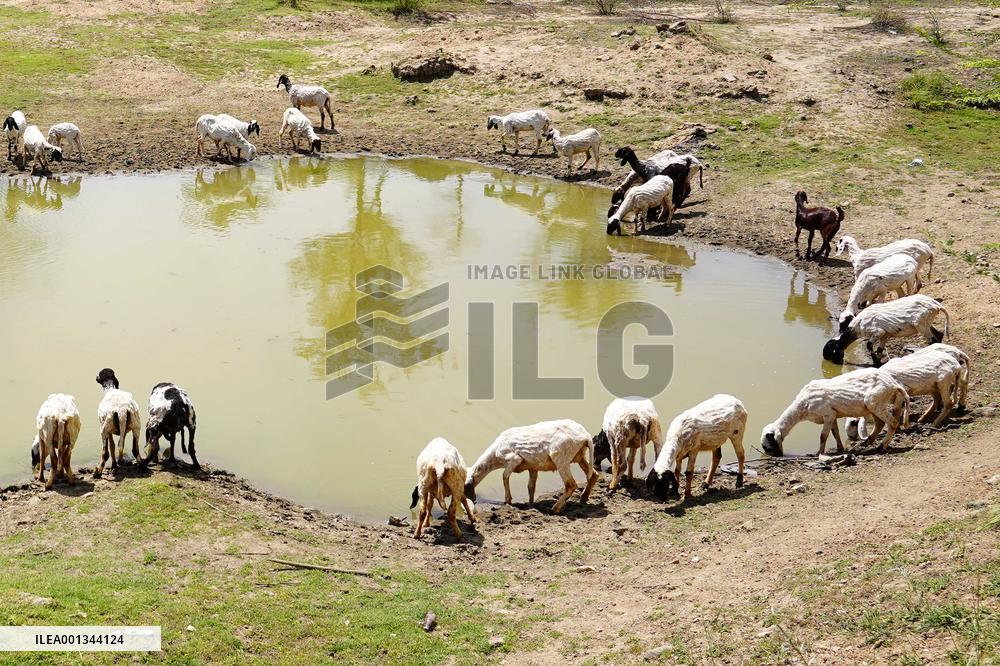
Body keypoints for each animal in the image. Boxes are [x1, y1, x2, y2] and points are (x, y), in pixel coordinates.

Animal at [464, 419, 598, 514]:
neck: (494, 457)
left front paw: (507, 500)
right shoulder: (533, 466)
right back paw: (583, 498)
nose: (473, 499)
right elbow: (531, 486)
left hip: (561, 457)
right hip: (579, 455)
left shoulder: (514, 459)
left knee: (571, 484)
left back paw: (554, 509)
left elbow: (505, 476)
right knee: (594, 475)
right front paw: (530, 504)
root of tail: (586, 436)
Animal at [761, 368, 910, 456]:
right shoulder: (832, 415)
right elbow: (835, 433)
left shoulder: (827, 414)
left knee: (893, 423)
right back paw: (867, 442)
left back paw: (882, 446)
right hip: (873, 405)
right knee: (879, 424)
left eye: (768, 446)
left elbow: (823, 436)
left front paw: (818, 453)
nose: (777, 456)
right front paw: (840, 449)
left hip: (875, 401)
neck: (802, 406)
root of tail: (893, 384)